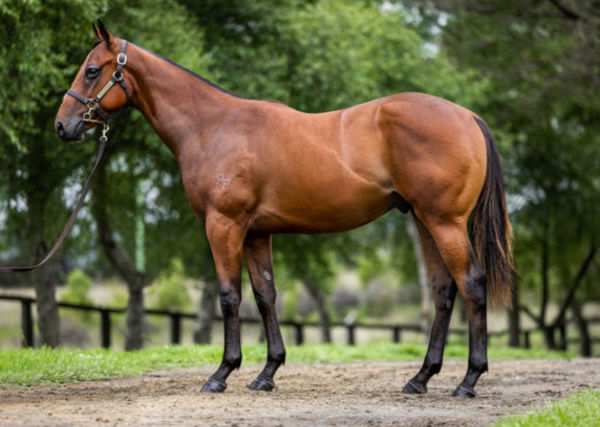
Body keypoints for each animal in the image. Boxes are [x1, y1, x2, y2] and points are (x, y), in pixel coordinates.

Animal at [56, 21, 512, 400]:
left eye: (92, 70)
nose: (63, 126)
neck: (212, 127)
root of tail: (467, 116)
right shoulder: (257, 233)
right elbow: (265, 296)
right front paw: (267, 373)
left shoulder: (224, 226)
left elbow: (230, 296)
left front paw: (221, 373)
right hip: (423, 221)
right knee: (443, 291)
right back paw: (420, 378)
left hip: (444, 222)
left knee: (471, 284)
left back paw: (468, 380)